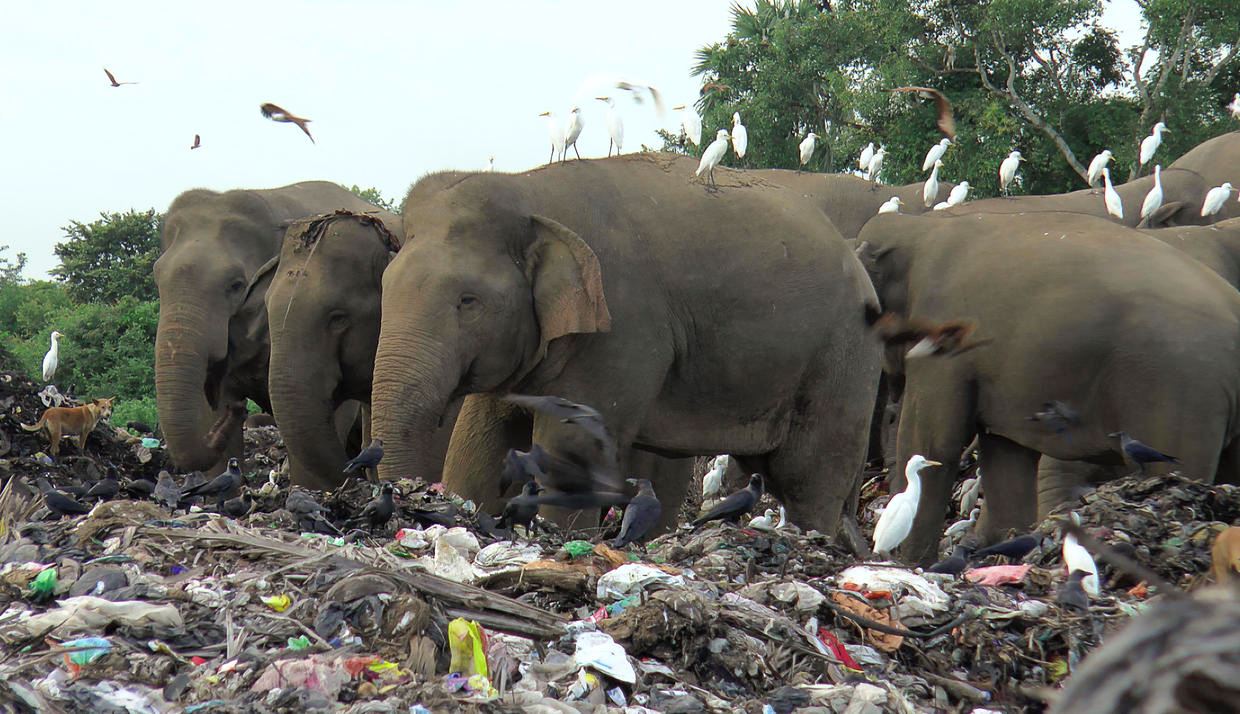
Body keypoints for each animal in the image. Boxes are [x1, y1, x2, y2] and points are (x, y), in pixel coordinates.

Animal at [370, 153, 882, 540]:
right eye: (385, 284)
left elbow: (573, 445)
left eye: (468, 301)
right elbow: (483, 442)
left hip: (844, 359)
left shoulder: (621, 325)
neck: (530, 190)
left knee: (808, 478)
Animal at [856, 211, 1240, 563]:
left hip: (1178, 392)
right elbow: (1005, 454)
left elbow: (934, 441)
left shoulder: (945, 341)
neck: (918, 225)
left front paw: (911, 564)